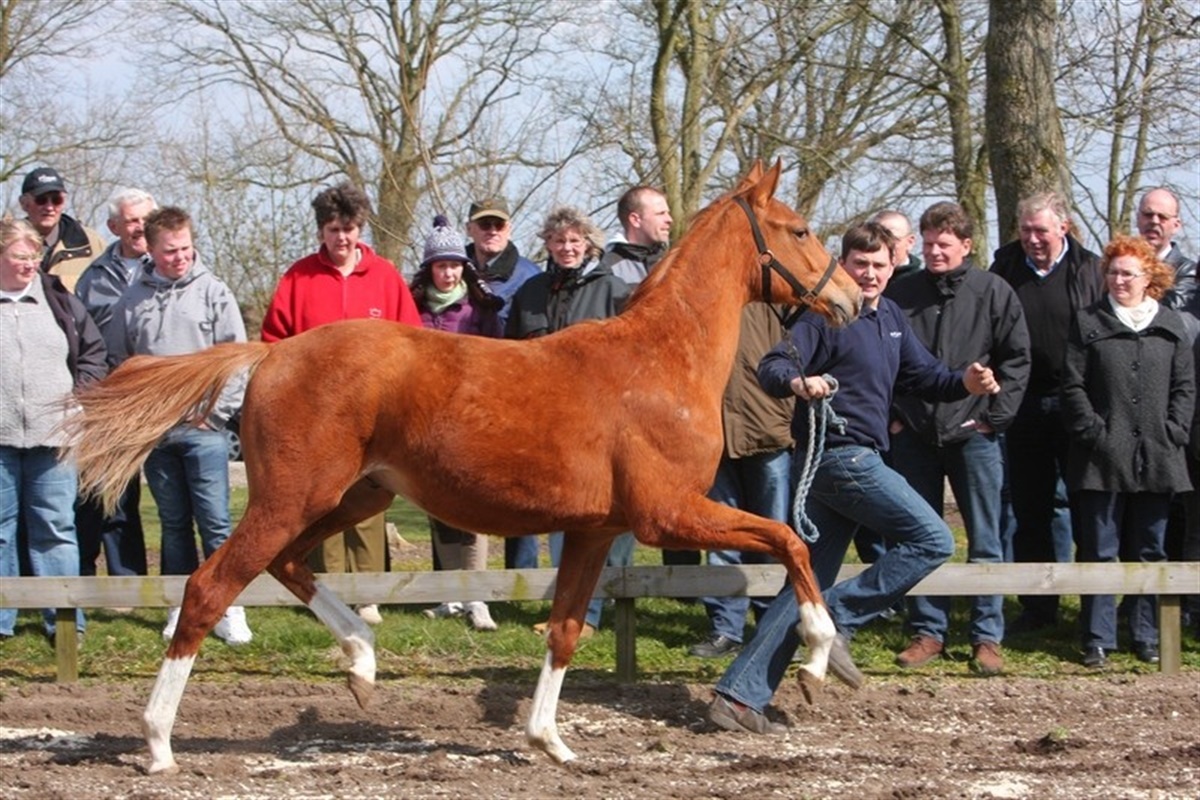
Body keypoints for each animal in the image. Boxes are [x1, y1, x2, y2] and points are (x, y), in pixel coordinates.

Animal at [65, 161, 861, 774]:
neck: (662, 361)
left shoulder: (596, 530)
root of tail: (271, 352)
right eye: (797, 229)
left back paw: (362, 662)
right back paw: (159, 743)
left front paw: (550, 742)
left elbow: (564, 630)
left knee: (288, 567)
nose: (853, 297)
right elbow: (790, 542)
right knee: (208, 588)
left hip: (347, 499)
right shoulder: (668, 515)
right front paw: (820, 662)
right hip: (292, 498)